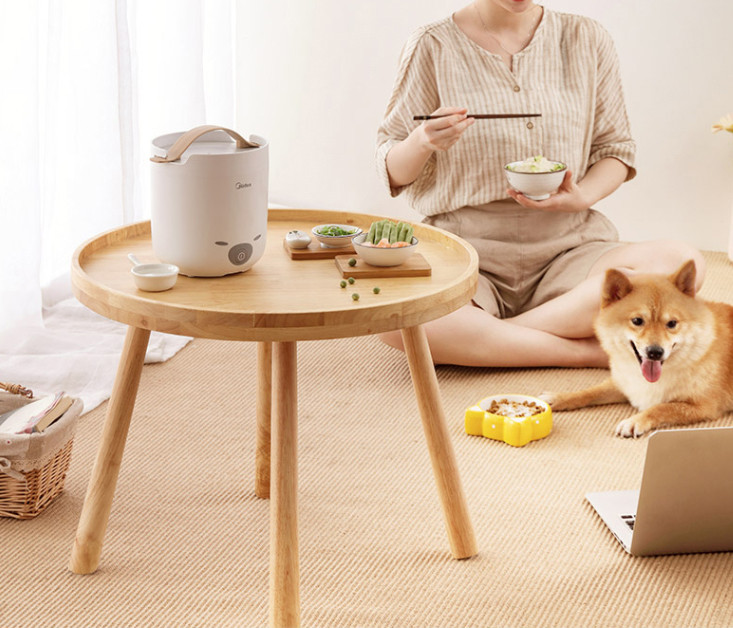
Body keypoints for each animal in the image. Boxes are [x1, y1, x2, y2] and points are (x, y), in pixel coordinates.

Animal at [536, 260, 732, 436]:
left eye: (672, 323)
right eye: (637, 321)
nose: (655, 352)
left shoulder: (702, 407)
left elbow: (661, 408)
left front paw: (635, 421)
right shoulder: (624, 385)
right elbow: (589, 392)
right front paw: (559, 397)